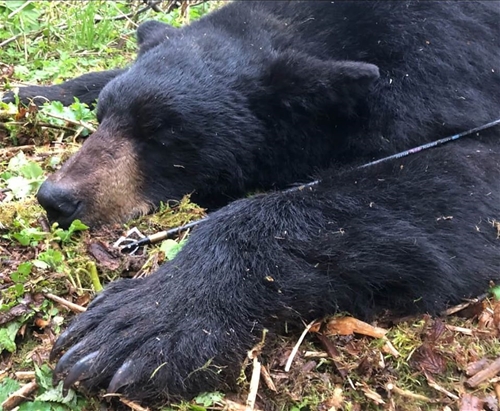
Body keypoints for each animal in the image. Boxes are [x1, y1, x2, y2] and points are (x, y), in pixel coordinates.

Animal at [3, 0, 500, 406]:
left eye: (163, 135)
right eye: (104, 117)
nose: (56, 198)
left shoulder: (442, 76)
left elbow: (454, 185)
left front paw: (141, 320)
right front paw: (23, 94)